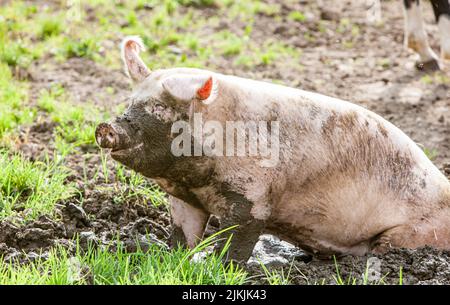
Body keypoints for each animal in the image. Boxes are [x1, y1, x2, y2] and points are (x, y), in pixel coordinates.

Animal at [96, 36, 450, 262]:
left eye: (159, 108)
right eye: (130, 103)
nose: (106, 128)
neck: (194, 180)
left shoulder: (255, 199)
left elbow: (234, 242)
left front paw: (218, 268)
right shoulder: (185, 200)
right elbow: (184, 237)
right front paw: (175, 258)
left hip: (412, 233)